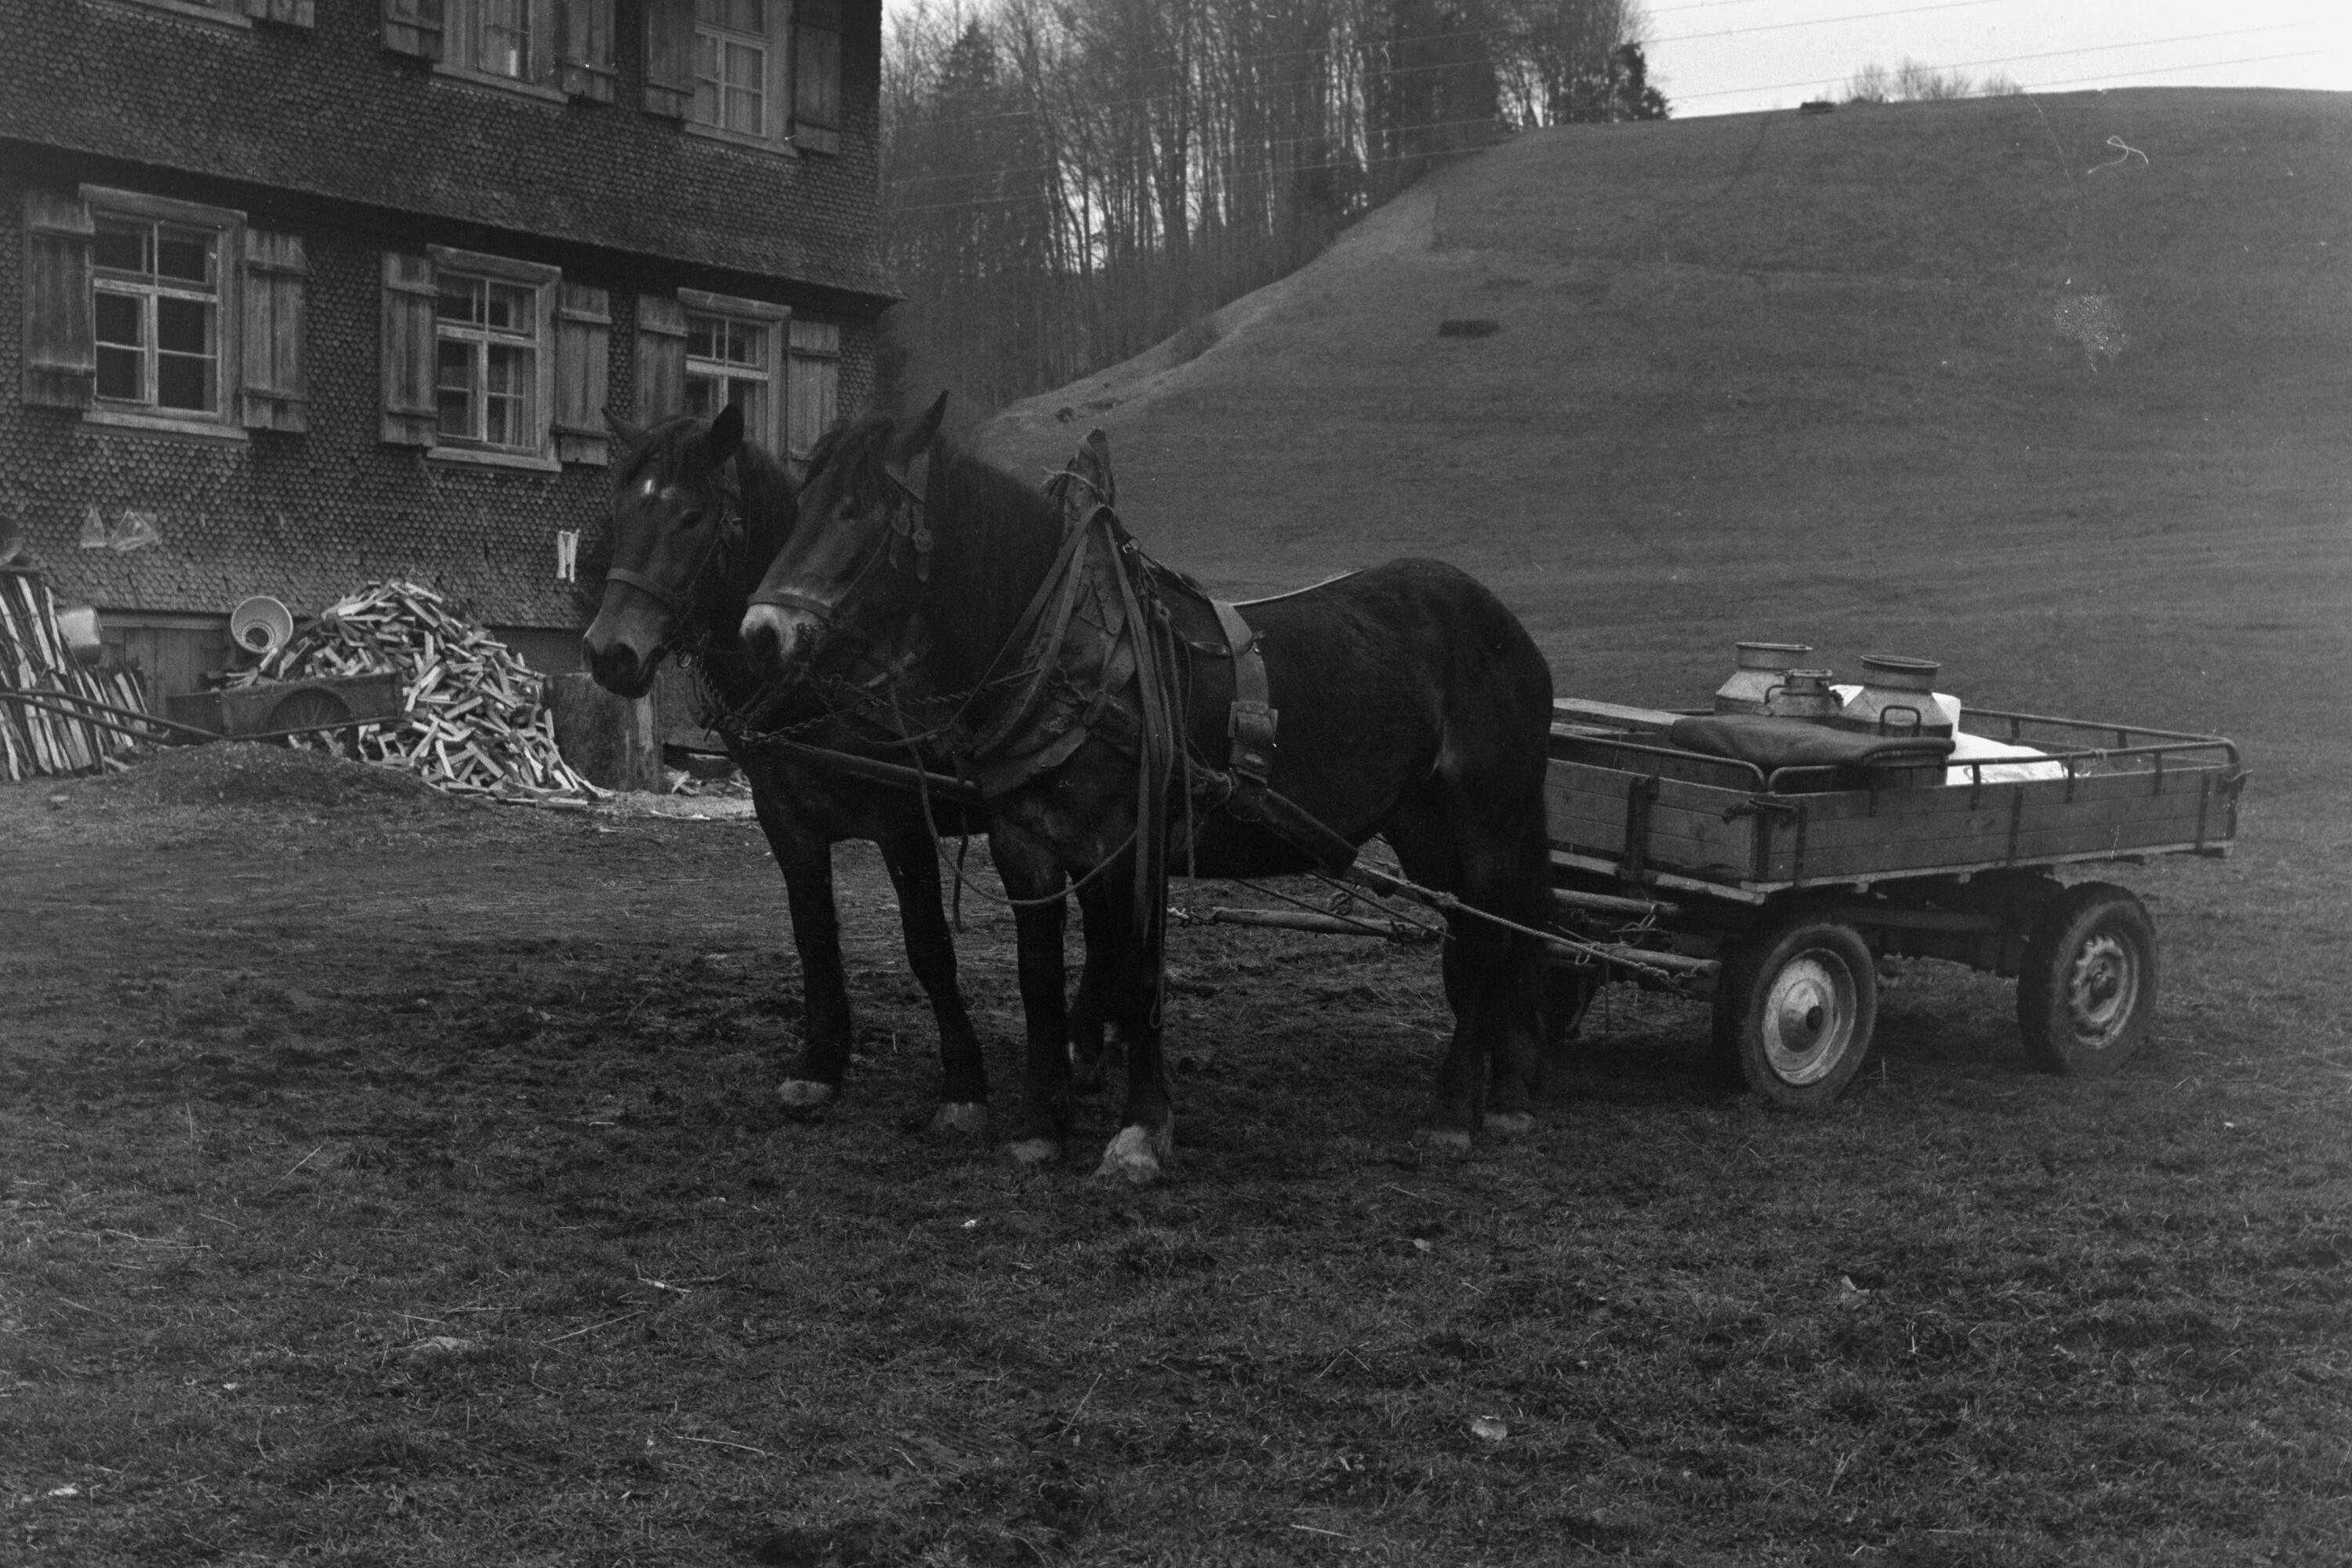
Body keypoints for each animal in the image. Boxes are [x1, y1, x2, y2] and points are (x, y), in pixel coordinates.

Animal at [581, 403, 1103, 1138]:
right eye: (625, 513)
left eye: (692, 516)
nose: (609, 653)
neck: (820, 676)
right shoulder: (786, 822)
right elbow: (814, 936)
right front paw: (820, 1064)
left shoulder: (903, 825)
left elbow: (928, 948)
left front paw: (964, 1083)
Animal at [737, 395, 1557, 1183]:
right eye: (801, 504)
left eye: (857, 510)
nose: (761, 635)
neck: (1073, 653)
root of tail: (1503, 624)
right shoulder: (1026, 842)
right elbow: (1040, 975)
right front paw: (1039, 1126)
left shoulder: (1136, 844)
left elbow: (1136, 980)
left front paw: (1140, 1133)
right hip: (1425, 826)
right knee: (1470, 936)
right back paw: (1499, 1096)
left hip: (1491, 817)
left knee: (1489, 938)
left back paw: (1456, 1110)